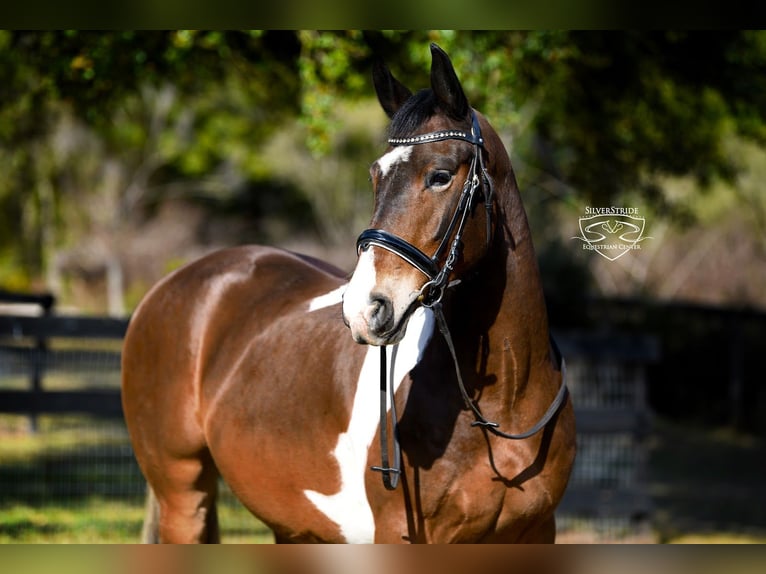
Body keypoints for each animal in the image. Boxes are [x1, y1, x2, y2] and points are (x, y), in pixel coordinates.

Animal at [121, 43, 576, 544]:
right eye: (376, 176)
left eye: (440, 176)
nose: (365, 308)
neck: (503, 406)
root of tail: (168, 287)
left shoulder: (537, 531)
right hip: (182, 498)